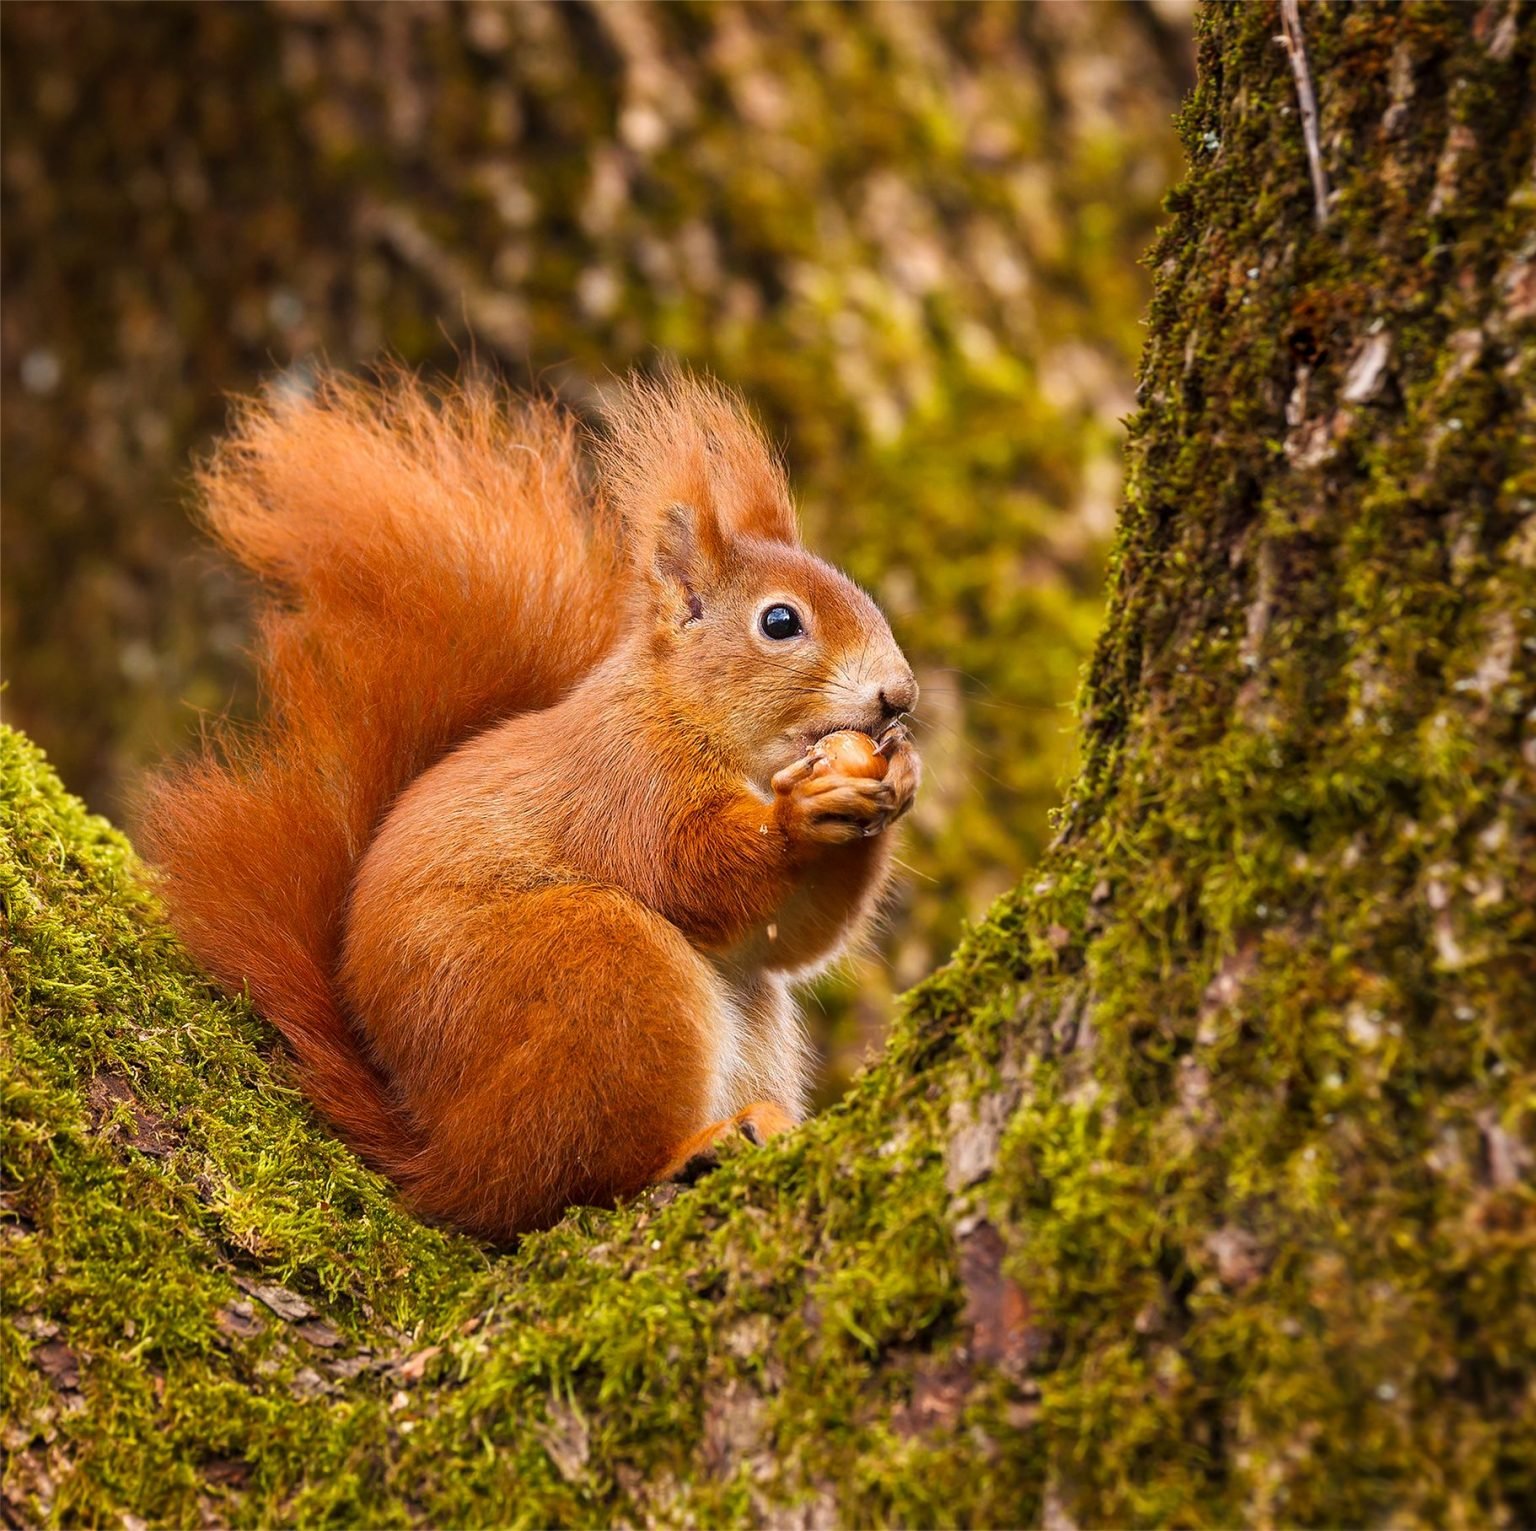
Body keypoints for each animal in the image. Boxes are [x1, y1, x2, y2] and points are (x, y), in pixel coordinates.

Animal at [141, 367, 919, 1240]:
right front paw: (798, 816)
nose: (899, 696)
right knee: (567, 1184)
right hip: (600, 971)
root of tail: (441, 1158)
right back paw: (691, 1148)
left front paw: (898, 777)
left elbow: (793, 936)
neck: (689, 716)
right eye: (780, 621)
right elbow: (692, 872)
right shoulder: (626, 783)